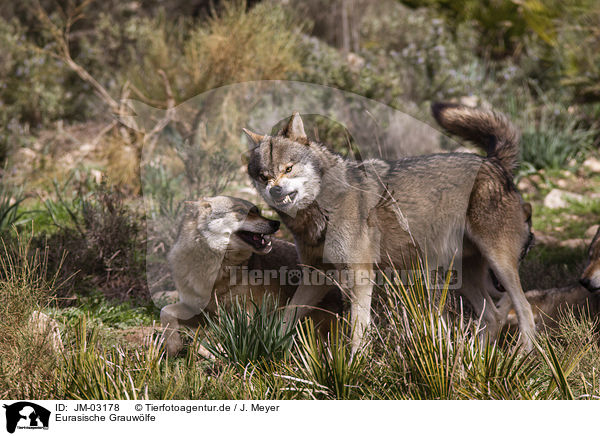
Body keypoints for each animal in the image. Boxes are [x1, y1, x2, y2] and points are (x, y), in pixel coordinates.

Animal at [161, 196, 338, 356]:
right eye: (240, 211)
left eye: (257, 211)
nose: (275, 223)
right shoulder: (201, 313)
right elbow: (165, 311)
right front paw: (173, 347)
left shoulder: (248, 315)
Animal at [243, 102, 536, 350]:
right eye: (264, 176)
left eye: (288, 168)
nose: (275, 190)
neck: (320, 210)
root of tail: (493, 162)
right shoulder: (317, 275)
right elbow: (286, 317)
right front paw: (265, 349)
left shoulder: (361, 275)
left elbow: (357, 332)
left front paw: (353, 367)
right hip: (462, 275)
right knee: (494, 316)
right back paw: (476, 359)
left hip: (499, 265)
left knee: (525, 311)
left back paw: (520, 358)